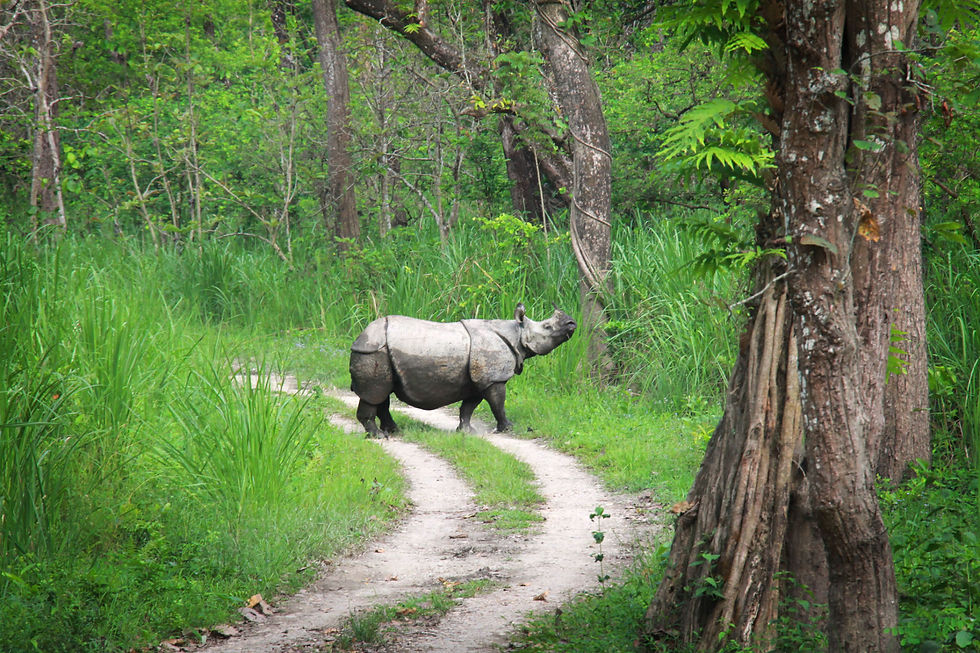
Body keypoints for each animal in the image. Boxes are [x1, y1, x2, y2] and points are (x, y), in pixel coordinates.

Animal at [349, 304, 576, 437]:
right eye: (547, 327)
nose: (572, 323)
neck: (517, 334)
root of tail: (359, 338)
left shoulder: (478, 379)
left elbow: (469, 407)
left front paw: (467, 432)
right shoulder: (494, 378)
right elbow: (498, 404)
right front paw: (508, 428)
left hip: (379, 352)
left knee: (382, 394)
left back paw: (394, 431)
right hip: (373, 352)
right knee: (375, 393)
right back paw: (378, 436)